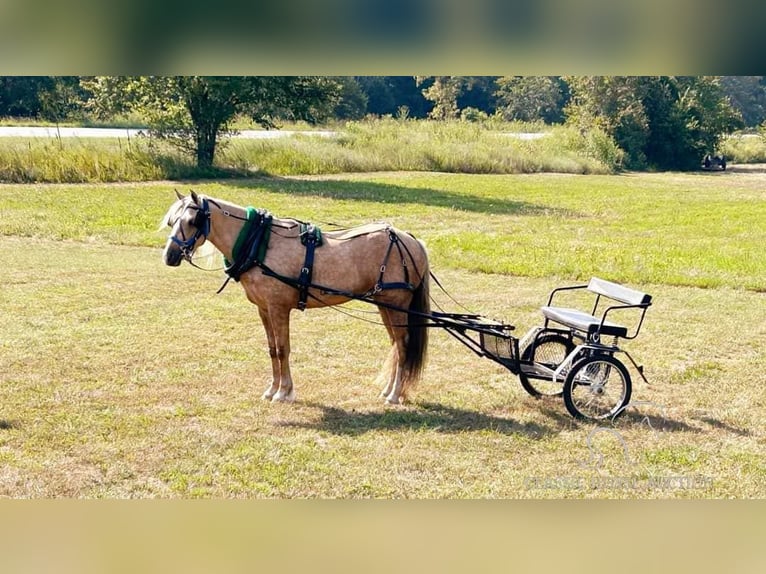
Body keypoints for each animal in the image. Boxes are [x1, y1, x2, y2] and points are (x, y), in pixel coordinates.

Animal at [162, 190, 432, 404]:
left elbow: (283, 349)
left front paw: (284, 392)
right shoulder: (264, 309)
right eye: (172, 221)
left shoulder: (278, 307)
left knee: (403, 345)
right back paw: (389, 390)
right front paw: (272, 390)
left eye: (193, 220)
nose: (169, 256)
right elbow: (272, 349)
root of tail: (411, 240)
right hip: (384, 305)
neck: (260, 244)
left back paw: (395, 395)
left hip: (396, 304)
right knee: (396, 345)